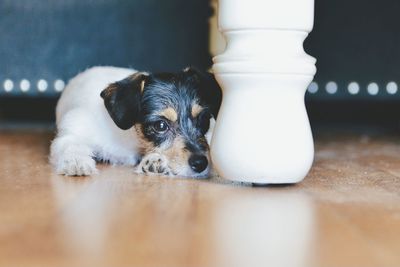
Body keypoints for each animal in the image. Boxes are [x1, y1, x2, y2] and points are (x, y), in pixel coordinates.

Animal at [49, 66, 222, 178]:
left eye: (203, 119)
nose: (201, 163)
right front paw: (76, 161)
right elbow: (71, 145)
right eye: (160, 125)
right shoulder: (74, 130)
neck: (129, 138)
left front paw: (154, 162)